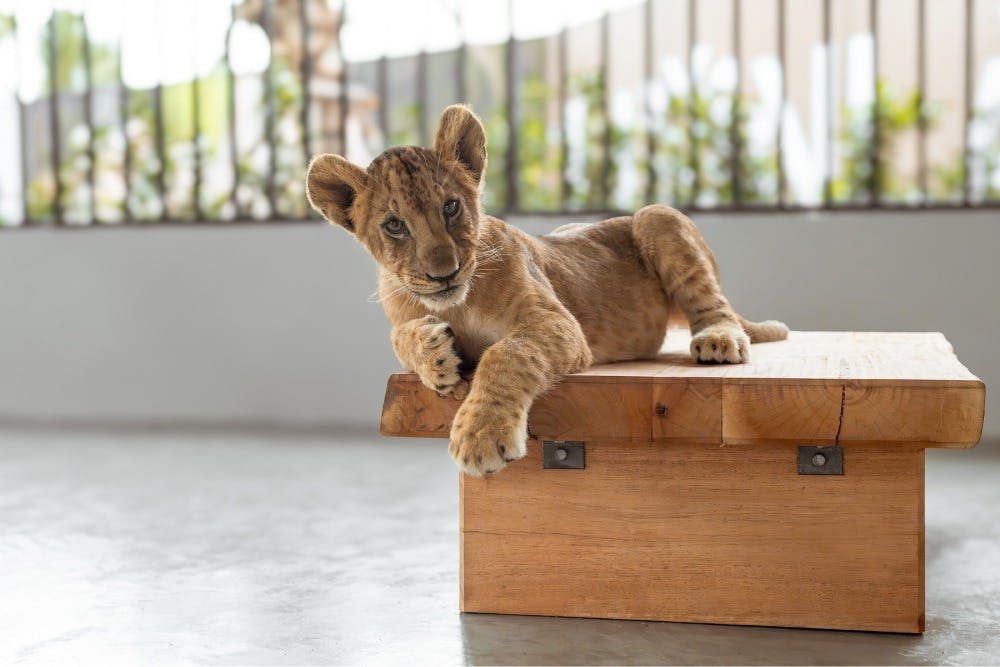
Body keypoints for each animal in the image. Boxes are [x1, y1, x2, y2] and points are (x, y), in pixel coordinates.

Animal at [306, 104, 788, 476]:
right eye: (394, 225)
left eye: (451, 206)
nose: (445, 272)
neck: (458, 306)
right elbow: (398, 336)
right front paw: (434, 356)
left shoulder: (558, 323)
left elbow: (508, 353)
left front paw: (481, 436)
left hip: (657, 216)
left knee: (713, 304)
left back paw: (718, 339)